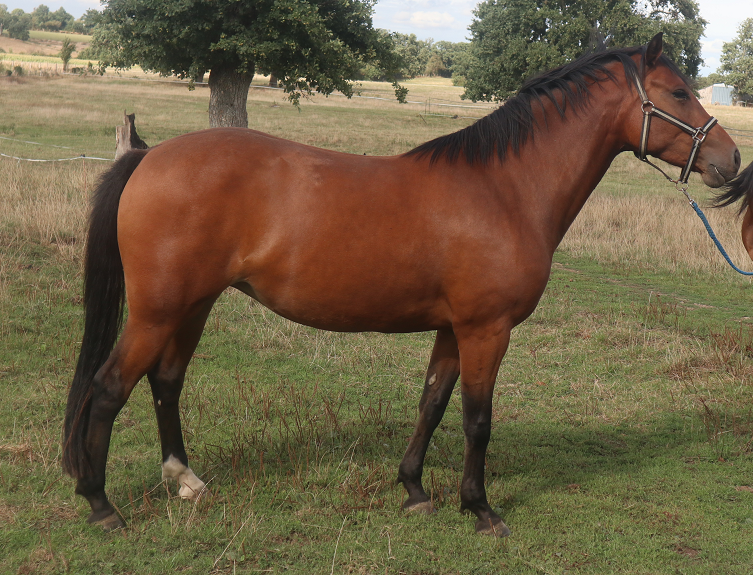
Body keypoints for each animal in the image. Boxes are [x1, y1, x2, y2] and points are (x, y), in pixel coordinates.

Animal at [63, 33, 740, 535]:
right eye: (678, 91)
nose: (731, 161)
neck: (503, 189)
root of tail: (148, 157)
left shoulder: (452, 328)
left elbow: (432, 402)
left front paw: (414, 488)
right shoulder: (486, 330)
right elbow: (476, 418)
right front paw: (480, 507)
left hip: (193, 306)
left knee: (165, 382)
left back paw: (184, 480)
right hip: (158, 310)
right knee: (110, 387)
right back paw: (101, 505)